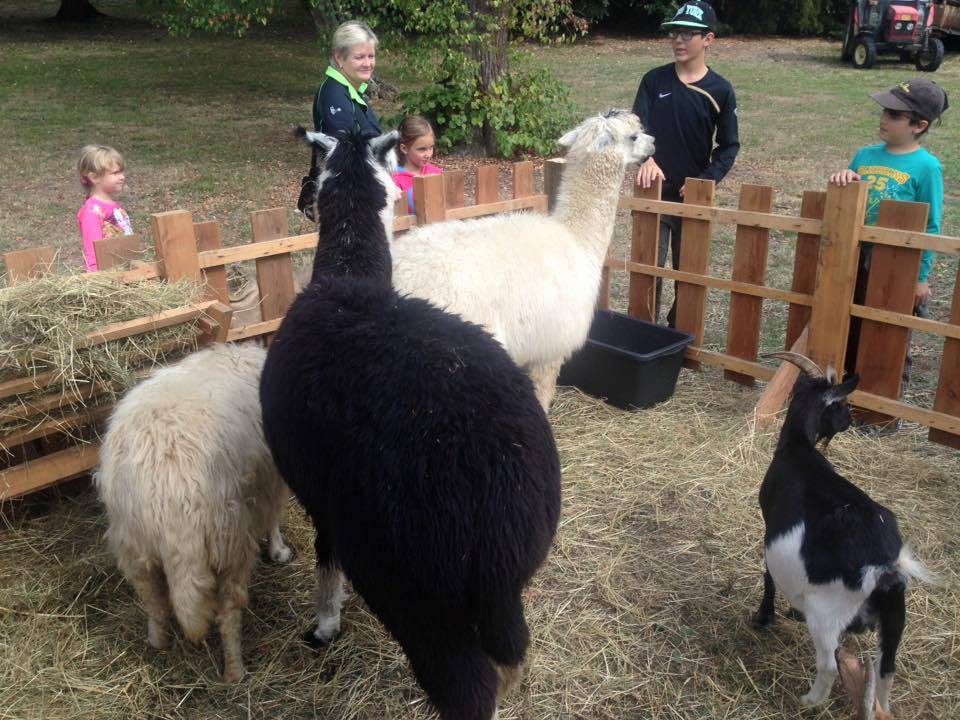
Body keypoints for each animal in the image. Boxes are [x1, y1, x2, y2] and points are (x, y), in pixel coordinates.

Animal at [95, 342, 292, 683]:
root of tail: (165, 495)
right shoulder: (270, 479)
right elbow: (274, 517)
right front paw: (278, 550)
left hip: (132, 545)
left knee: (155, 603)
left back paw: (158, 641)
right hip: (228, 542)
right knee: (228, 612)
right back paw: (235, 670)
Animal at [261, 128, 562, 720]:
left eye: (313, 172)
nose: (302, 202)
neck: (348, 280)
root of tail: (503, 501)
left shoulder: (323, 498)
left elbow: (325, 559)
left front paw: (325, 624)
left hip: (411, 585)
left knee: (466, 689)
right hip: (499, 590)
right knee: (510, 656)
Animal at [752, 351, 933, 711]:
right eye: (845, 404)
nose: (849, 421)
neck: (800, 448)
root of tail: (885, 570)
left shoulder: (769, 528)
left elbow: (768, 576)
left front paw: (764, 617)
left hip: (828, 613)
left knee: (829, 666)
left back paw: (808, 700)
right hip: (896, 617)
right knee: (887, 669)